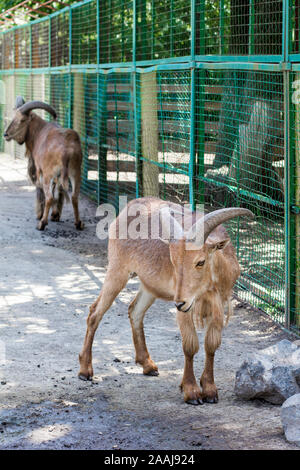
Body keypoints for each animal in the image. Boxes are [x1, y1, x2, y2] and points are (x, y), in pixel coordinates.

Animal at [3, 96, 84, 230]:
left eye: (22, 120)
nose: (6, 134)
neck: (38, 131)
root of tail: (66, 150)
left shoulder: (39, 170)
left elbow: (40, 191)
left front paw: (40, 215)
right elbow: (59, 191)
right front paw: (55, 215)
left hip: (48, 174)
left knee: (49, 197)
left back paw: (42, 223)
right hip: (75, 172)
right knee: (74, 196)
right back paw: (78, 223)